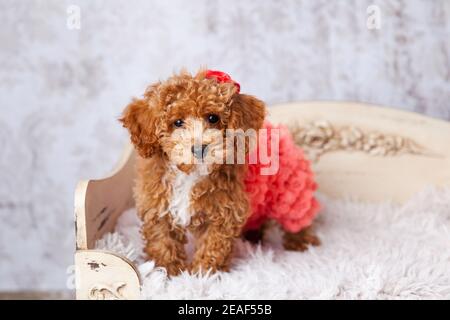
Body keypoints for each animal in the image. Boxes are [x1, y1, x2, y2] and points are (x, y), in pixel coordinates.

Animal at [119, 69, 320, 276]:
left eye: (213, 118)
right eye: (177, 122)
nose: (199, 148)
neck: (190, 174)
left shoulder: (223, 212)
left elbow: (213, 245)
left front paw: (202, 274)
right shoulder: (158, 205)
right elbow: (163, 240)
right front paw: (167, 271)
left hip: (290, 192)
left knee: (298, 217)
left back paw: (300, 240)